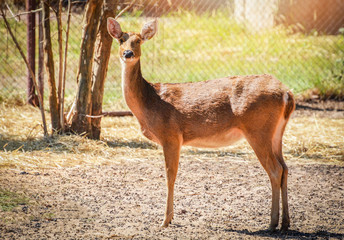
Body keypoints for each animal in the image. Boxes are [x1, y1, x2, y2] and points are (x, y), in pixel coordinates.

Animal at [107, 18, 296, 232]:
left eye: (138, 40)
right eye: (121, 39)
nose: (127, 53)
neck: (150, 102)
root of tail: (287, 93)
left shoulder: (171, 135)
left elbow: (170, 176)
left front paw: (165, 220)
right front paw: (168, 218)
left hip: (258, 129)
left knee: (275, 170)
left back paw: (271, 224)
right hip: (277, 132)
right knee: (285, 167)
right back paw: (285, 223)